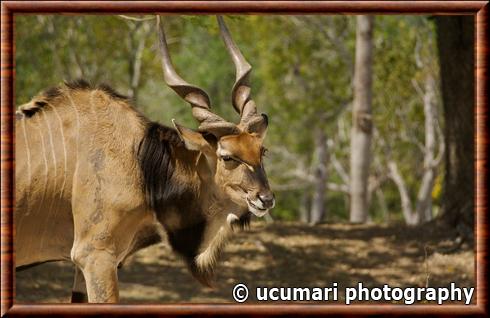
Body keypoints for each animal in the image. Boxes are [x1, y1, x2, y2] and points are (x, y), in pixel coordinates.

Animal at [15, 16, 274, 304]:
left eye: (261, 151)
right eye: (227, 156)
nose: (265, 199)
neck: (140, 162)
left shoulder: (85, 266)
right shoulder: (95, 256)